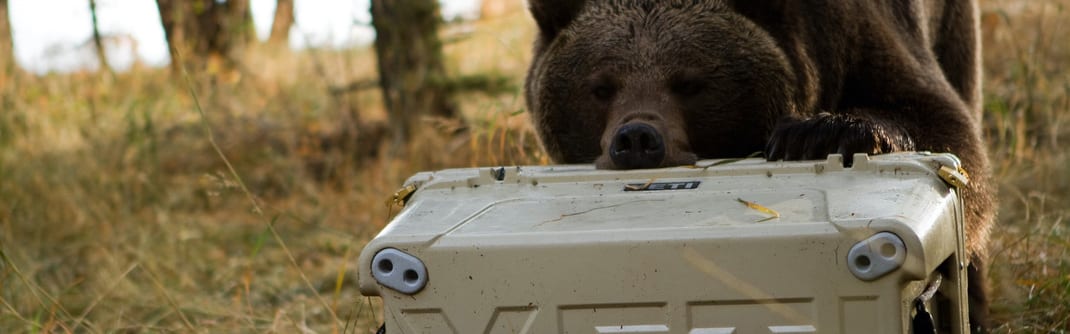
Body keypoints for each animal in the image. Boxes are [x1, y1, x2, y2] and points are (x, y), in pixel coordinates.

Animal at [524, 0, 992, 329]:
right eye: (601, 86)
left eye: (690, 83)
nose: (637, 139)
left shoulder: (864, 35)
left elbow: (944, 126)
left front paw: (819, 133)